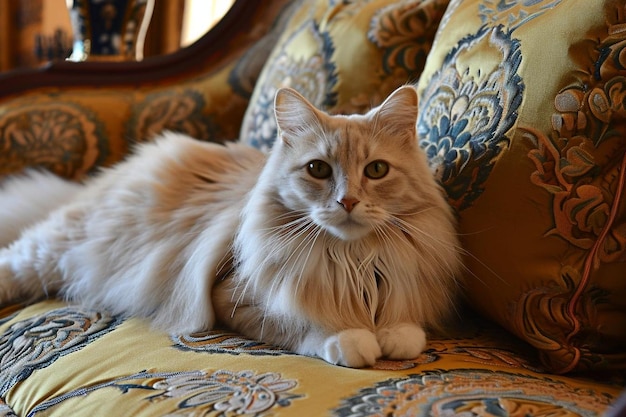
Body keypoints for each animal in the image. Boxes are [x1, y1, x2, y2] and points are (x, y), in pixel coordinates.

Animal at [0, 86, 458, 366]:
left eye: (377, 170)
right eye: (318, 170)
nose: (347, 202)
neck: (353, 258)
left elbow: (407, 329)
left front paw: (392, 335)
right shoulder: (233, 297)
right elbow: (302, 325)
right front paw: (351, 339)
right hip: (49, 251)